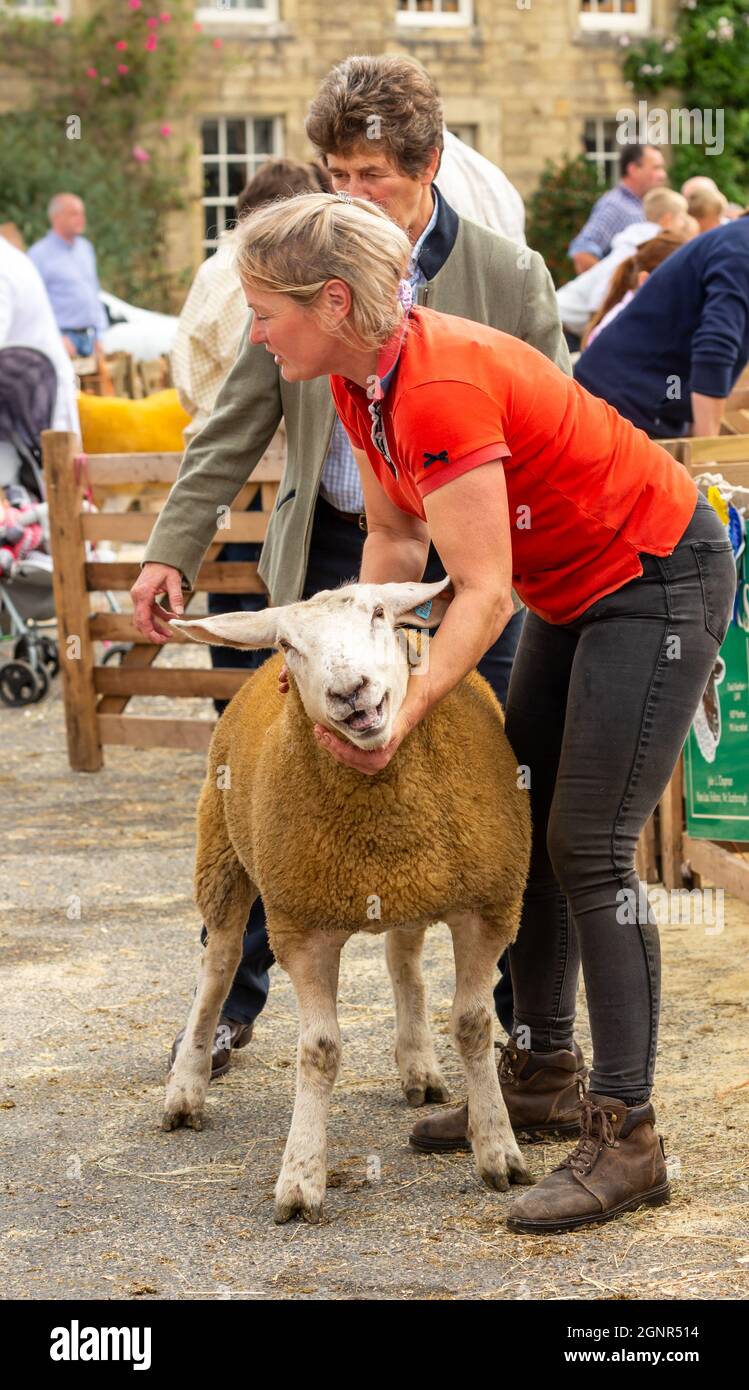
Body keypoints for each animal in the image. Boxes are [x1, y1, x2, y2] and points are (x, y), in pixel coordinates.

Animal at [163, 576, 533, 1223]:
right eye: (288, 644)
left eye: (381, 613)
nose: (348, 691)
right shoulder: (301, 926)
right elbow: (320, 1050)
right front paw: (300, 1178)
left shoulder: (488, 907)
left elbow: (471, 1025)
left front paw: (497, 1150)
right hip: (223, 856)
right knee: (218, 968)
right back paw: (186, 1088)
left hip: (410, 888)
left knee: (403, 962)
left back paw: (418, 1066)